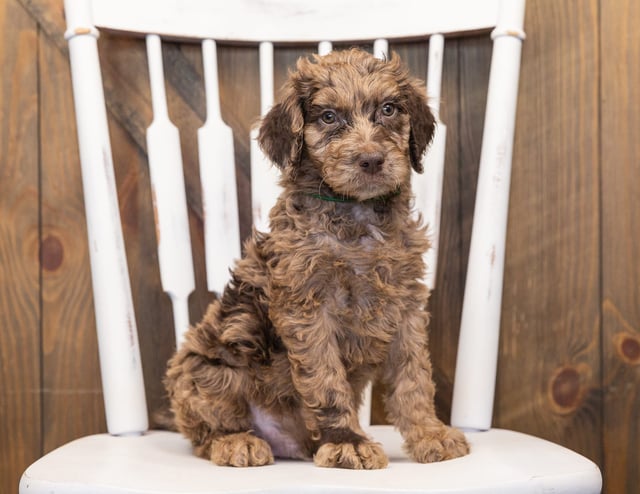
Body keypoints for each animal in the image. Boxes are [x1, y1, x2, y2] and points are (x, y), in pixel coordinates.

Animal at [162, 48, 468, 468]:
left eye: (389, 109)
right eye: (328, 117)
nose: (371, 160)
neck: (356, 214)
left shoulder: (405, 305)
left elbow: (414, 377)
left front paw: (429, 433)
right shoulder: (307, 307)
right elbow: (325, 380)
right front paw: (347, 441)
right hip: (205, 369)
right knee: (208, 426)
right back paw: (237, 441)